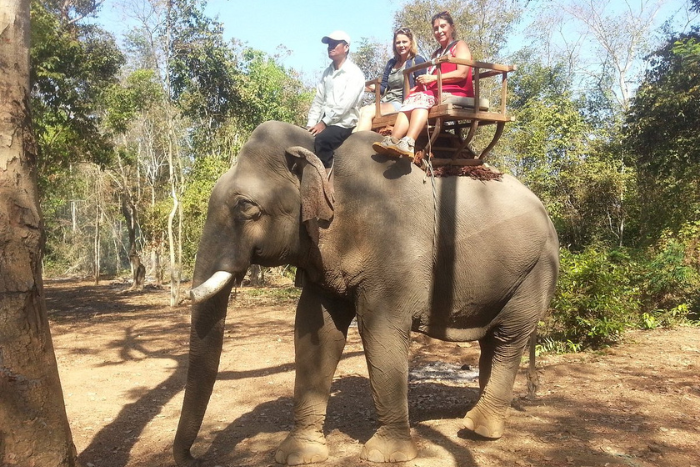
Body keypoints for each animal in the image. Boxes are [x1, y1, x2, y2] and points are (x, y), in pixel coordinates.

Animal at [172, 119, 560, 464]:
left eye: (245, 207)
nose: (195, 456)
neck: (323, 159)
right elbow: (315, 331)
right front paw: (298, 454)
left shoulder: (394, 247)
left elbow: (381, 331)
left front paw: (386, 455)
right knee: (491, 341)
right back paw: (477, 413)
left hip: (537, 269)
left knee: (509, 338)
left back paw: (480, 428)